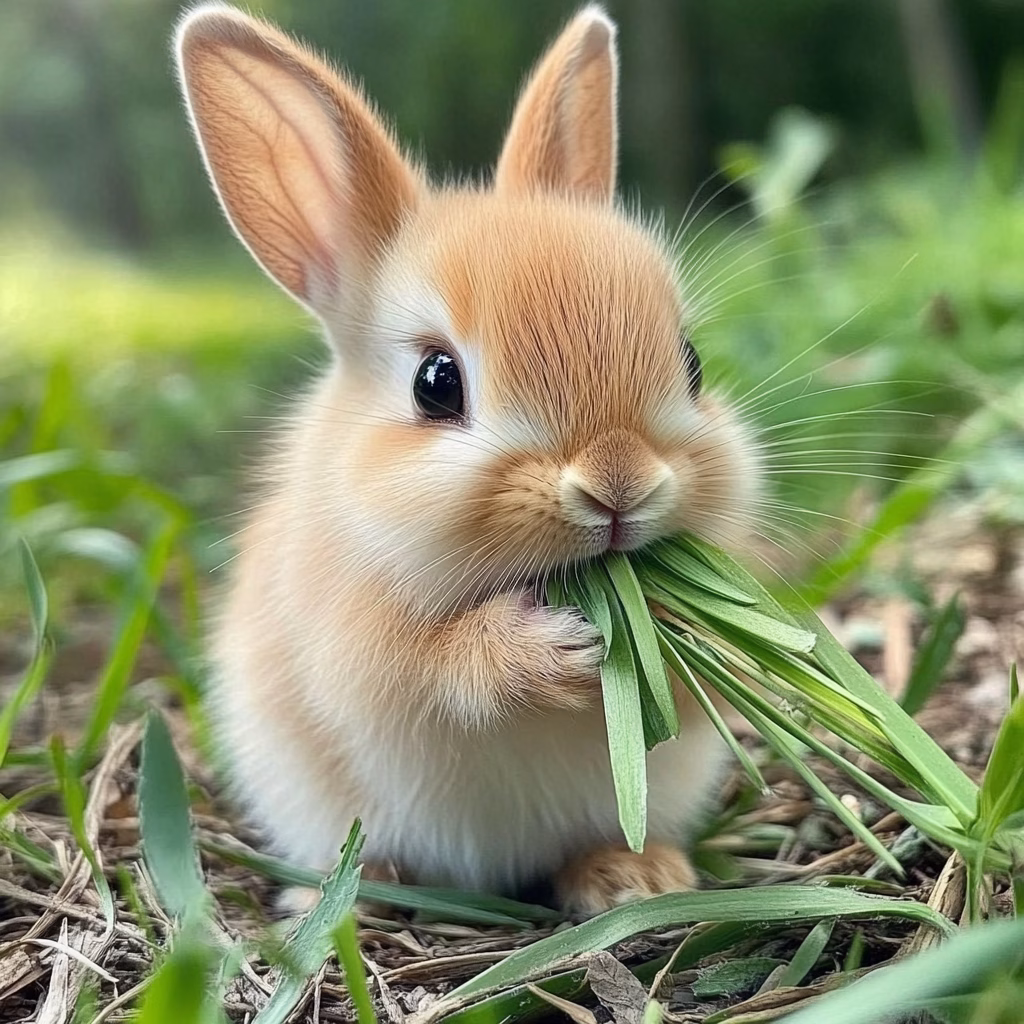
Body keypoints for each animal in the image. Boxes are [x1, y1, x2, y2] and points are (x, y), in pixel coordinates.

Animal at [174, 2, 762, 916]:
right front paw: (558, 652)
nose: (620, 483)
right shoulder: (361, 645)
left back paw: (632, 876)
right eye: (436, 382)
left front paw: (690, 635)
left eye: (693, 364)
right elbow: (441, 667)